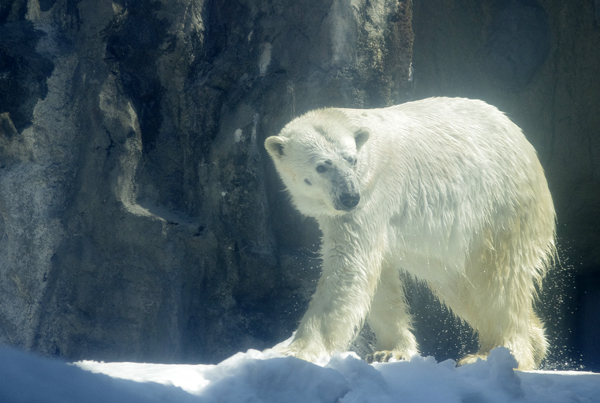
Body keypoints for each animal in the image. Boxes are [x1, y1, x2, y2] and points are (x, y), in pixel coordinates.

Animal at [264, 96, 556, 370]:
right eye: (322, 166)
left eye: (351, 160)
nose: (349, 197)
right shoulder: (349, 212)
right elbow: (377, 276)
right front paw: (389, 351)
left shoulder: (372, 192)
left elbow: (348, 267)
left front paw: (294, 351)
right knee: (464, 288)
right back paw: (535, 344)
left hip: (501, 206)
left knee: (499, 281)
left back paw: (497, 355)